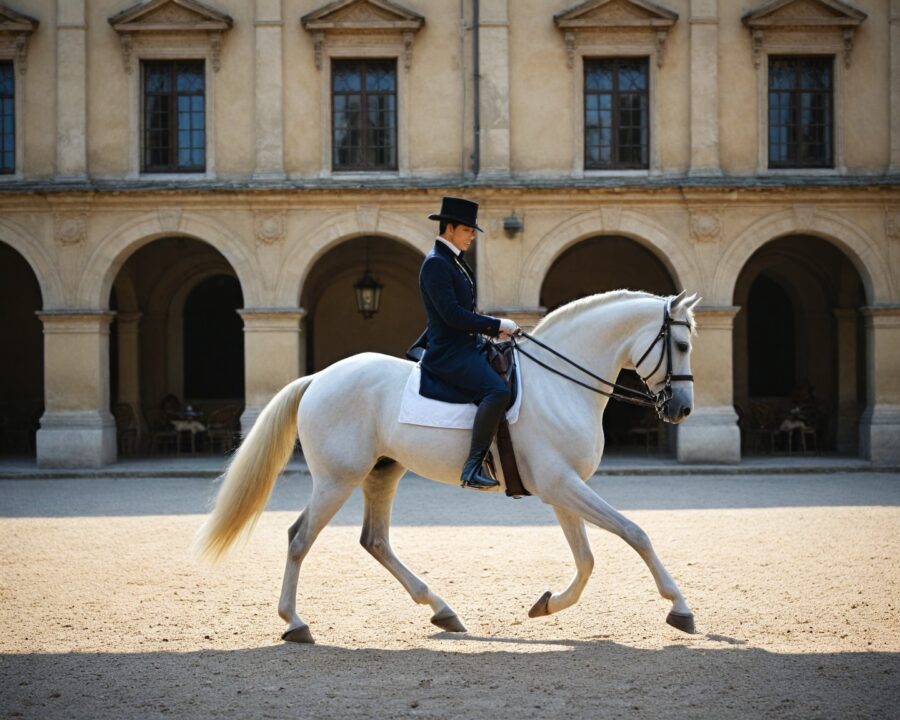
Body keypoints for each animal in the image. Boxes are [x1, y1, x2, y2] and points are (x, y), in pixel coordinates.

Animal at [194, 289, 701, 643]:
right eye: (679, 343)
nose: (682, 410)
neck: (559, 384)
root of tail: (320, 377)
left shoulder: (562, 488)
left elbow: (587, 559)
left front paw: (547, 604)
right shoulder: (563, 484)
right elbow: (635, 532)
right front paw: (679, 607)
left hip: (381, 473)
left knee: (375, 541)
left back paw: (442, 610)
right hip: (337, 480)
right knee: (300, 538)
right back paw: (296, 623)